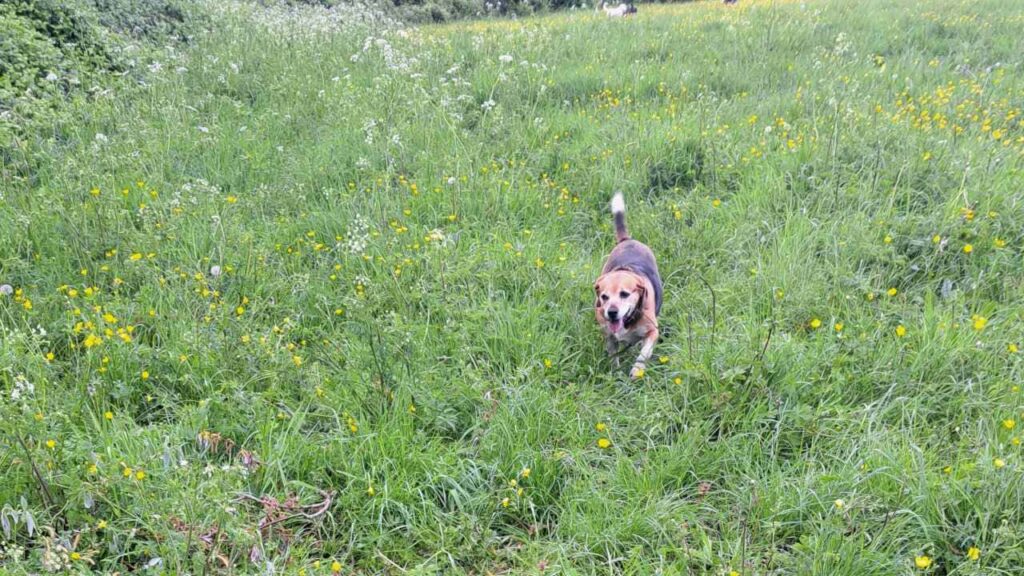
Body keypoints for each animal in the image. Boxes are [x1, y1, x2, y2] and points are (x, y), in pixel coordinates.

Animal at [593, 192, 663, 379]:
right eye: (604, 297)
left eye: (624, 294)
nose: (611, 312)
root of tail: (627, 240)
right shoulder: (609, 335)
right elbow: (613, 356)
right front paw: (616, 374)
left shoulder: (653, 331)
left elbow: (644, 353)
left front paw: (637, 370)